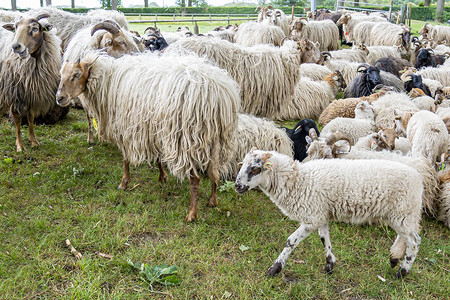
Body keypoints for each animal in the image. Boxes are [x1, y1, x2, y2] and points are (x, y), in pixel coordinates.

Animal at [0, 13, 62, 152]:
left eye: (34, 28)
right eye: (15, 28)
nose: (15, 47)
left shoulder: (30, 92)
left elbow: (30, 117)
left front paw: (33, 141)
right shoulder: (14, 93)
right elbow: (17, 120)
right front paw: (20, 145)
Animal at [237, 149, 424, 278]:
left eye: (255, 169)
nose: (237, 186)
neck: (298, 180)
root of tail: (418, 179)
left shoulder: (312, 217)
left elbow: (291, 241)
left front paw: (275, 268)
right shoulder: (321, 215)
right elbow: (323, 239)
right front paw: (329, 264)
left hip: (403, 212)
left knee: (414, 242)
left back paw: (402, 272)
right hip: (402, 214)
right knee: (405, 237)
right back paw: (394, 258)